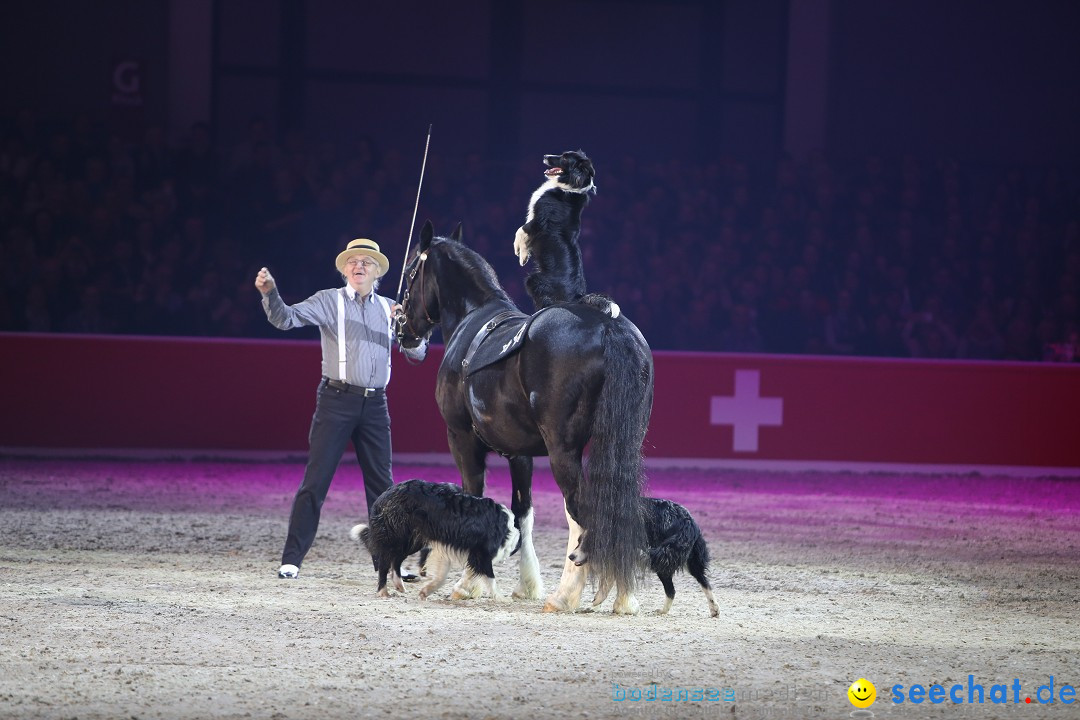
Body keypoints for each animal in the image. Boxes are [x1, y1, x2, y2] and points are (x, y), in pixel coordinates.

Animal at [349, 479, 518, 604]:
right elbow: (490, 578)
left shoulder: (450, 549)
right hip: (396, 538)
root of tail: (385, 494)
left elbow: (447, 577)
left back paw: (399, 585)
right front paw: (501, 598)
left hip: (411, 540)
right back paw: (383, 591)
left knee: (396, 560)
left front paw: (430, 591)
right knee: (384, 563)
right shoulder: (481, 554)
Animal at [395, 221, 652, 613]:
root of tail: (607, 325)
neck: (472, 319)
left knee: (581, 513)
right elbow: (523, 513)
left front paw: (468, 583)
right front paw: (527, 585)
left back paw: (566, 595)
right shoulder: (520, 452)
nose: (403, 332)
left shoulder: (461, 438)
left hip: (563, 451)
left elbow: (475, 498)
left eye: (411, 273)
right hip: (624, 444)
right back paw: (622, 596)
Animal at [509, 148, 596, 310]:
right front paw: (524, 253)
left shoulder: (539, 220)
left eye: (565, 158)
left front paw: (521, 253)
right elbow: (524, 232)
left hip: (534, 280)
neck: (570, 186)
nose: (545, 156)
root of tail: (577, 296)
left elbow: (521, 230)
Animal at [570, 498, 721, 617]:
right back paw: (714, 609)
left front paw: (596, 602)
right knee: (703, 582)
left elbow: (607, 584)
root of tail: (687, 521)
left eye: (588, 545)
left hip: (663, 560)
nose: (571, 556)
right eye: (578, 542)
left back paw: (663, 611)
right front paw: (595, 606)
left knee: (671, 590)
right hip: (688, 561)